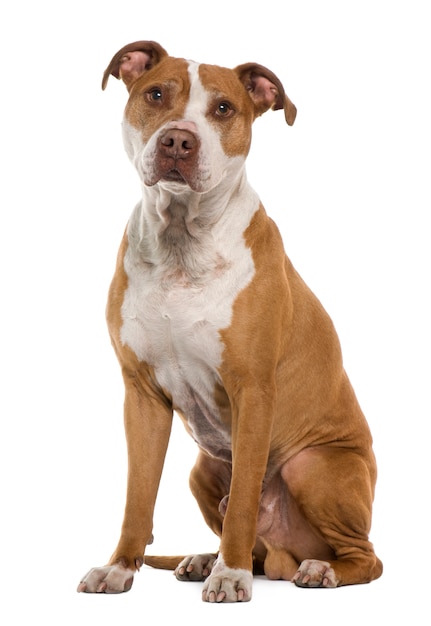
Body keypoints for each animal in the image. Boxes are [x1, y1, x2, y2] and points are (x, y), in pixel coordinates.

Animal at [77, 39, 382, 600]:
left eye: (223, 108)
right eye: (156, 94)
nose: (178, 141)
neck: (182, 246)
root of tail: (288, 554)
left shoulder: (253, 389)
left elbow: (242, 500)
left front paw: (231, 576)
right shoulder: (141, 395)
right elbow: (137, 495)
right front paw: (120, 568)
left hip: (313, 465)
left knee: (365, 557)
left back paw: (317, 570)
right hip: (201, 469)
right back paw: (207, 558)